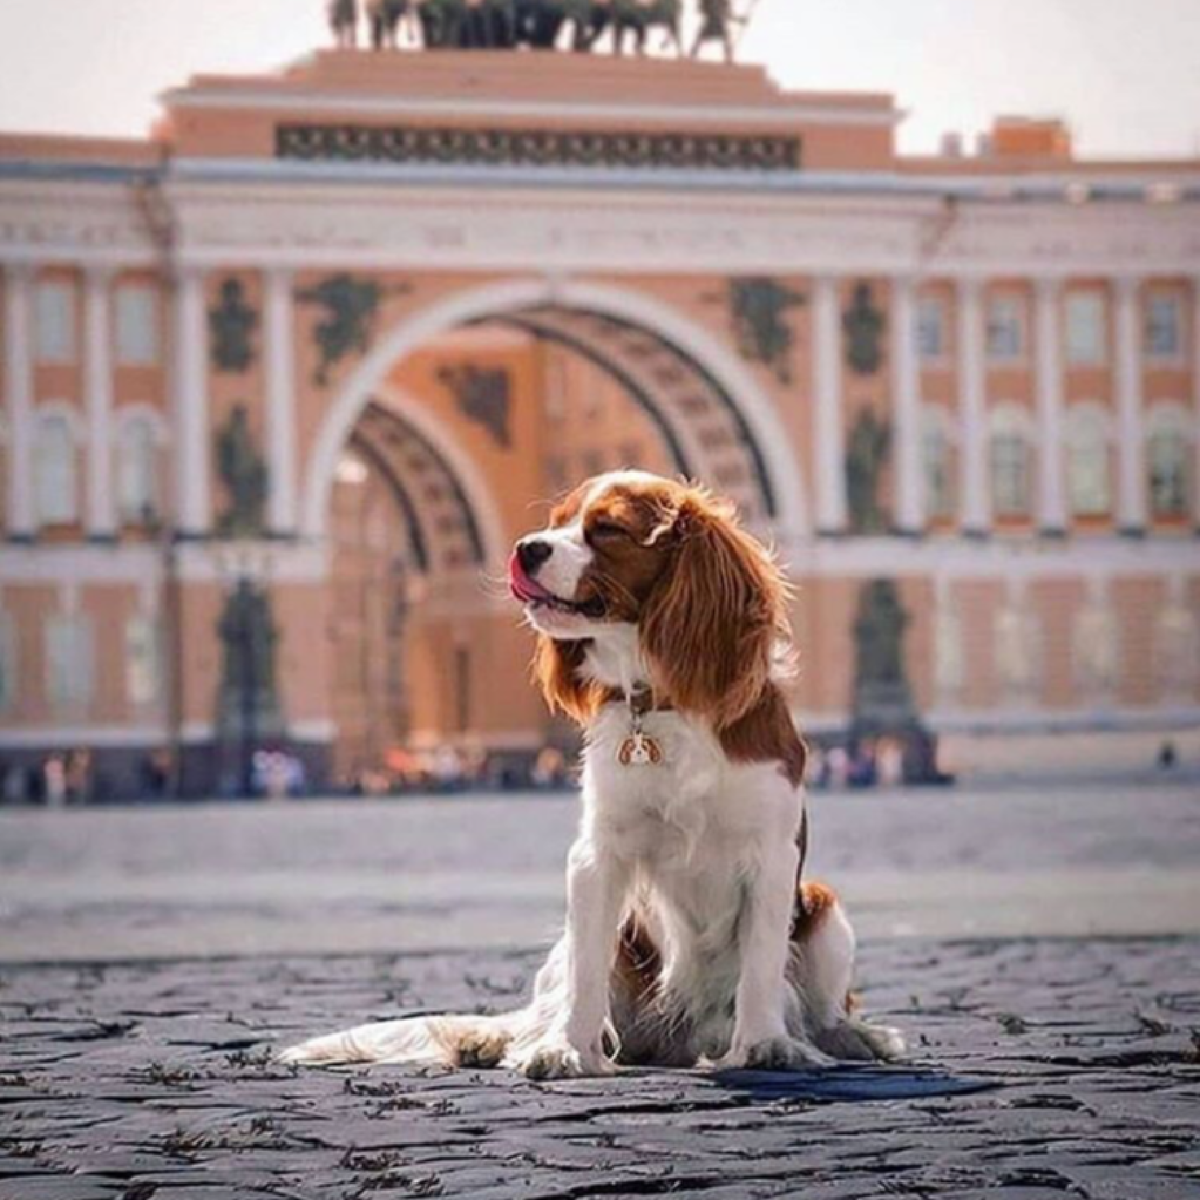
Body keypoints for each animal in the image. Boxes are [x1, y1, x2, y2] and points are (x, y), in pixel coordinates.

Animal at [280, 470, 902, 1080]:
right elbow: (585, 975)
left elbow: (763, 963)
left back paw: (854, 1036)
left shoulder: (771, 857)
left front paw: (765, 1044)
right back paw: (498, 1041)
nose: (525, 548)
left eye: (607, 529)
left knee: (823, 1008)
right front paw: (566, 1050)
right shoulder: (597, 856)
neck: (660, 701)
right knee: (550, 1001)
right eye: (556, 523)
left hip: (824, 908)